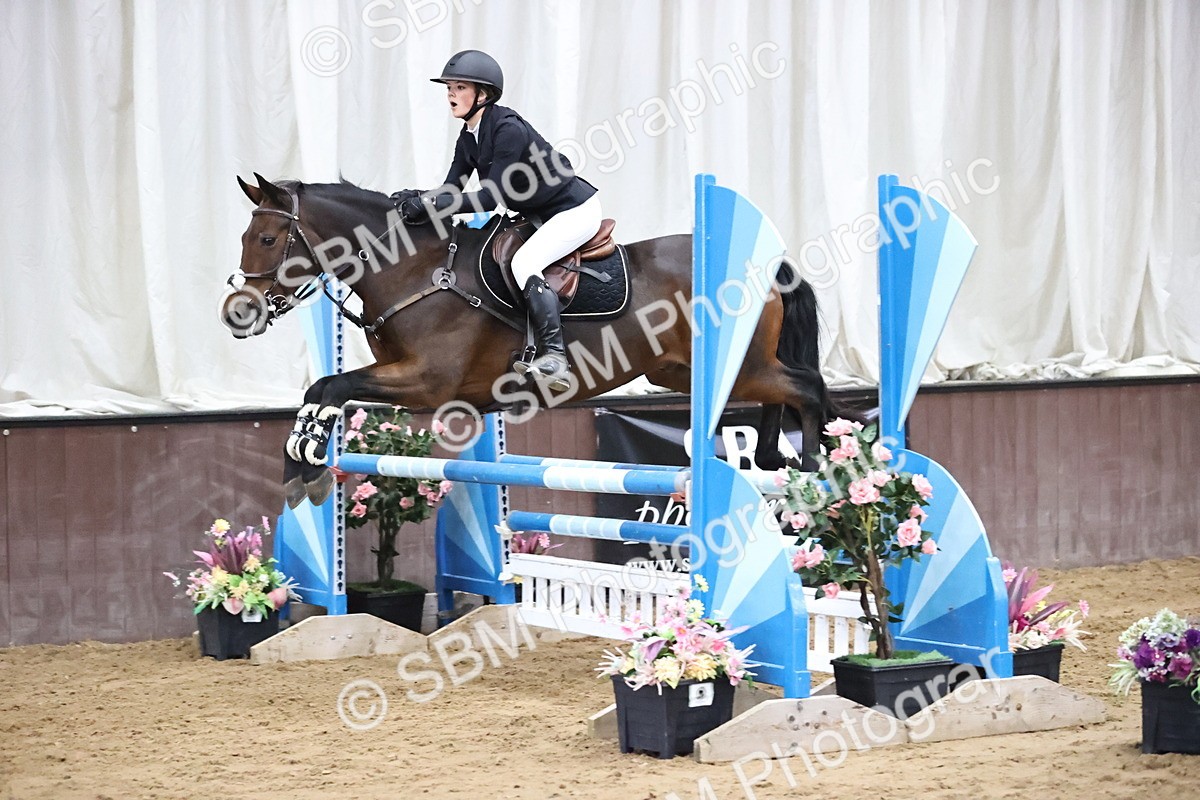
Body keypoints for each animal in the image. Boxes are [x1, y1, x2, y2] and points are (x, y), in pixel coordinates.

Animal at [222, 173, 843, 508]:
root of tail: (767, 267)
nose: (237, 312)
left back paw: (820, 470)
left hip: (736, 364)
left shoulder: (426, 383)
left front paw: (305, 463)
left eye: (269, 239)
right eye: (248, 236)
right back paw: (775, 458)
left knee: (807, 386)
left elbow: (330, 386)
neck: (414, 270)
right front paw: (300, 469)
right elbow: (321, 389)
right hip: (687, 370)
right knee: (778, 394)